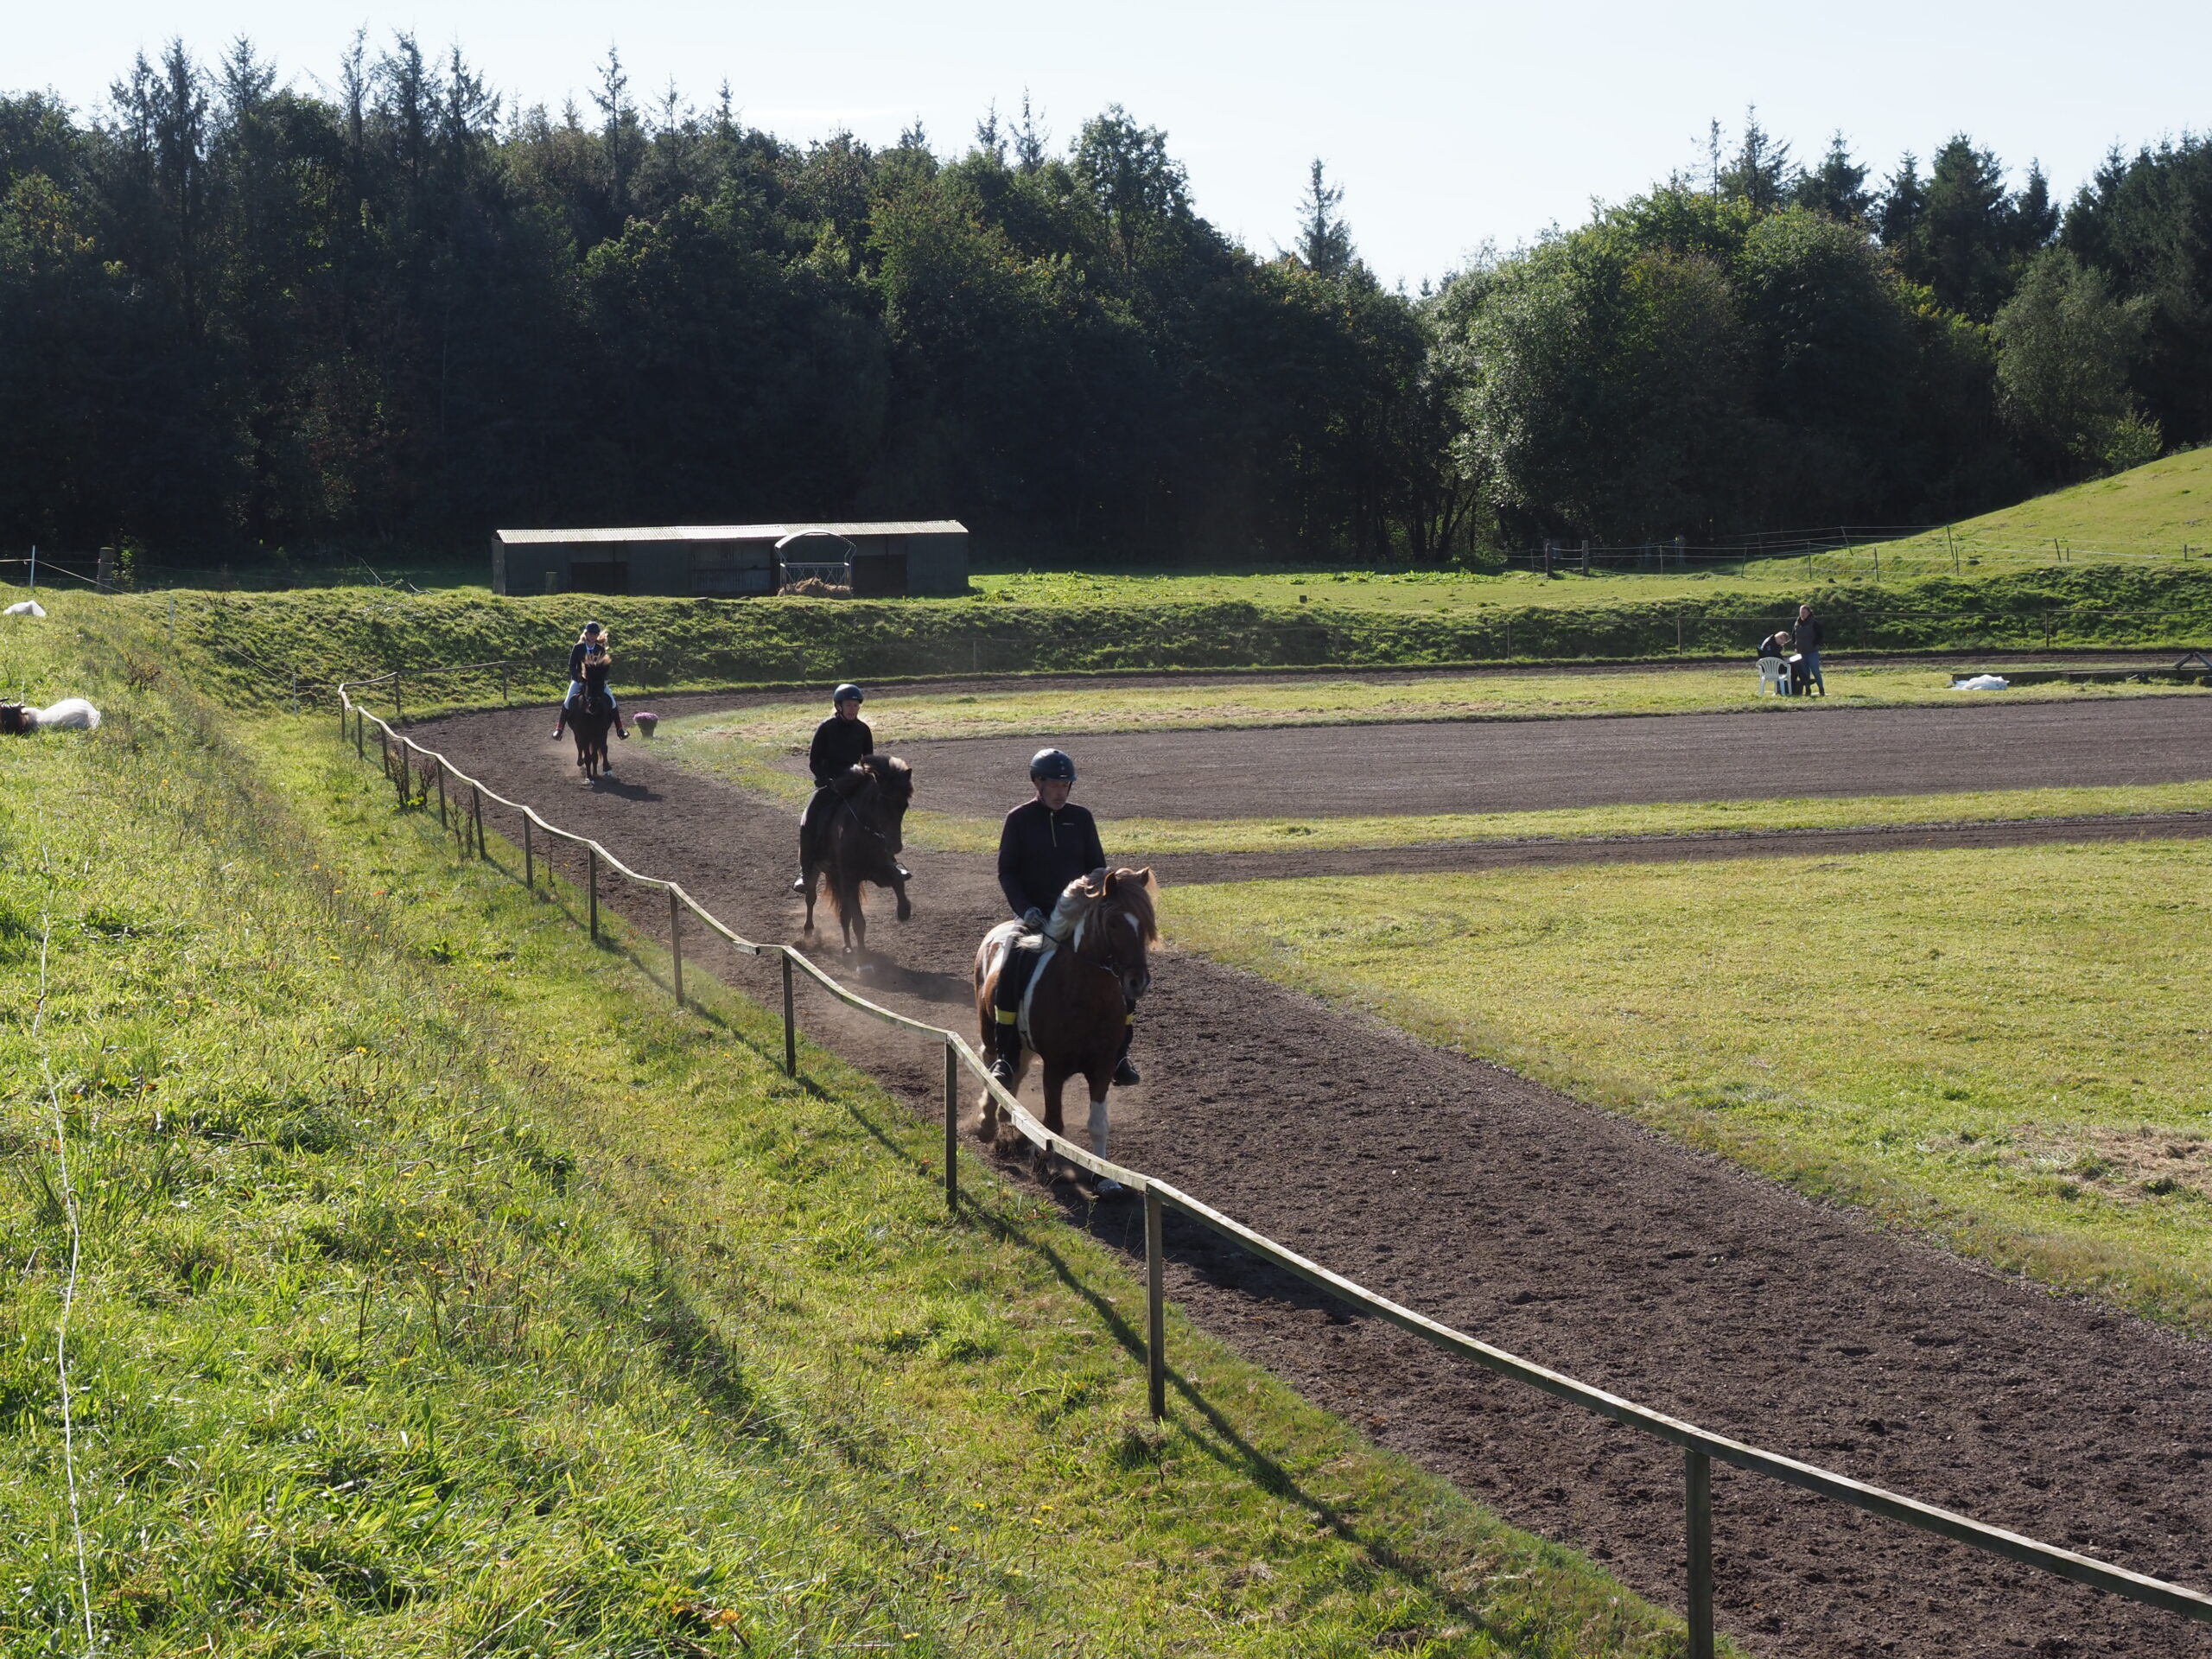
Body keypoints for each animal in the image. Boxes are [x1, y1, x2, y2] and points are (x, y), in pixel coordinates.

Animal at [800, 756, 914, 954]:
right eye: (881, 802)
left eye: (904, 805)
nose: (895, 846)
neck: (864, 833)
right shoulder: (851, 879)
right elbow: (859, 922)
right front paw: (862, 957)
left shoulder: (879, 872)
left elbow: (898, 880)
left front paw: (904, 911)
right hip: (815, 869)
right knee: (811, 898)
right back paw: (809, 932)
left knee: (844, 914)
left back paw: (847, 946)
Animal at [973, 866, 1157, 1195]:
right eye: (1113, 923)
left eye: (1146, 922)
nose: (1138, 982)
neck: (1086, 995)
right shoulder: (1055, 1068)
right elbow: (1053, 1124)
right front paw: (1042, 1163)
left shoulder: (1102, 1066)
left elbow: (1098, 1124)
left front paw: (1104, 1178)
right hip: (989, 1030)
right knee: (992, 1068)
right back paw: (989, 1123)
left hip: (1023, 1047)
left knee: (1014, 1073)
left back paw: (1008, 1122)